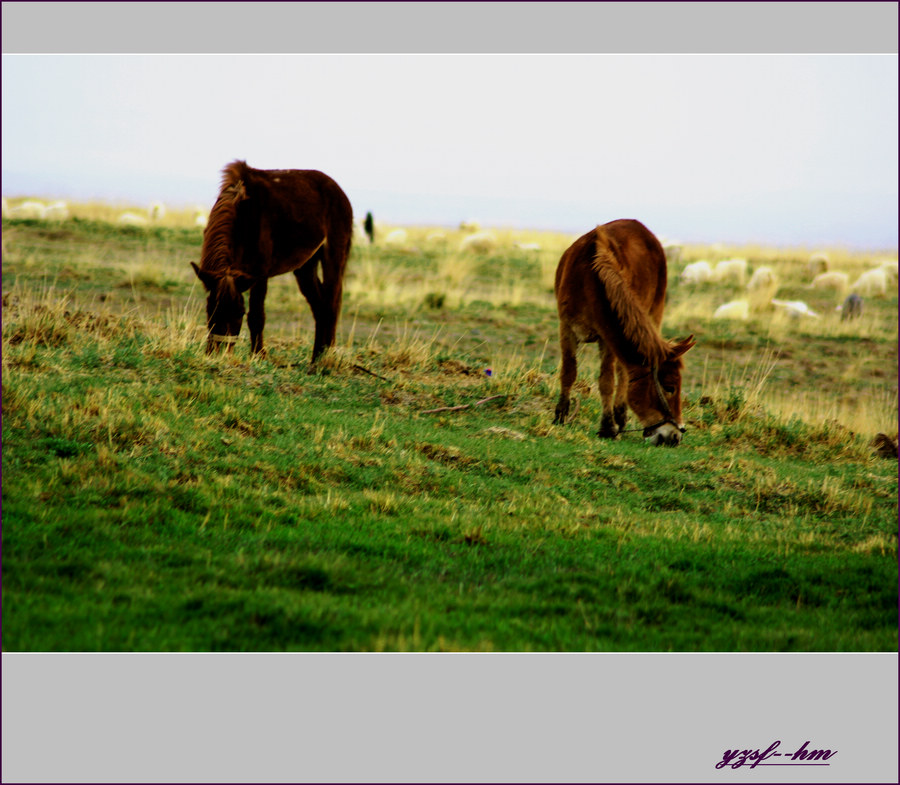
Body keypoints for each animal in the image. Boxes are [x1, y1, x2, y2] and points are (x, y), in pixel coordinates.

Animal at [190, 162, 352, 368]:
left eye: (240, 312)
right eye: (210, 309)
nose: (220, 354)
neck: (244, 214)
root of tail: (338, 190)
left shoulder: (259, 271)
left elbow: (257, 316)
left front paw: (259, 356)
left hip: (334, 256)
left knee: (331, 304)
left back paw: (326, 358)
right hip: (306, 266)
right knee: (319, 306)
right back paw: (316, 357)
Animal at [548, 220, 696, 444]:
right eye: (670, 387)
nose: (675, 436)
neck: (589, 283)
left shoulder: (607, 339)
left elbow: (607, 381)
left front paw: (607, 427)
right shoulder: (566, 328)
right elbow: (568, 372)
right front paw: (560, 416)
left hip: (653, 314)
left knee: (622, 372)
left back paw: (620, 415)